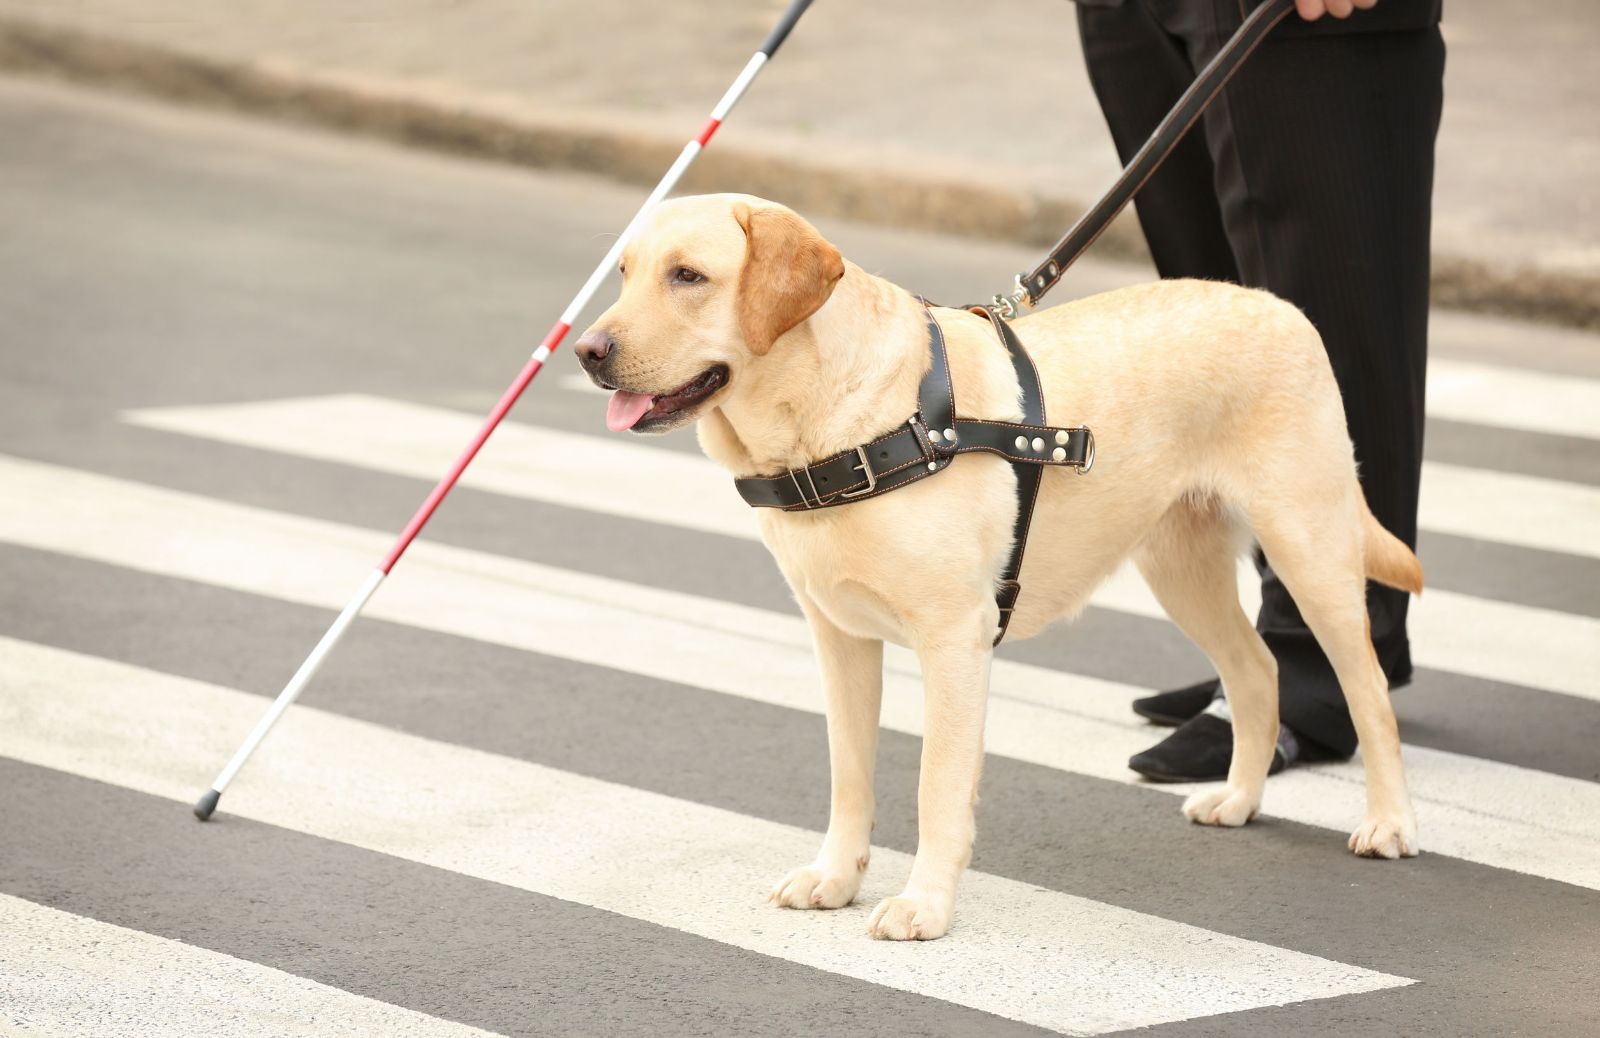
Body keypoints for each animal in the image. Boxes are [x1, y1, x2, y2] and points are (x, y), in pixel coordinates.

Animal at [576, 187, 1427, 940]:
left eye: (689, 276)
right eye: (623, 272)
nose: (587, 351)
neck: (839, 424)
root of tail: (1279, 306)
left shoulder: (954, 639)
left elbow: (936, 785)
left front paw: (923, 906)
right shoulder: (839, 637)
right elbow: (849, 774)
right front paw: (836, 878)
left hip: (1308, 544)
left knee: (1366, 690)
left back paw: (1390, 822)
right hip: (1179, 566)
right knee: (1256, 670)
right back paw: (1240, 797)